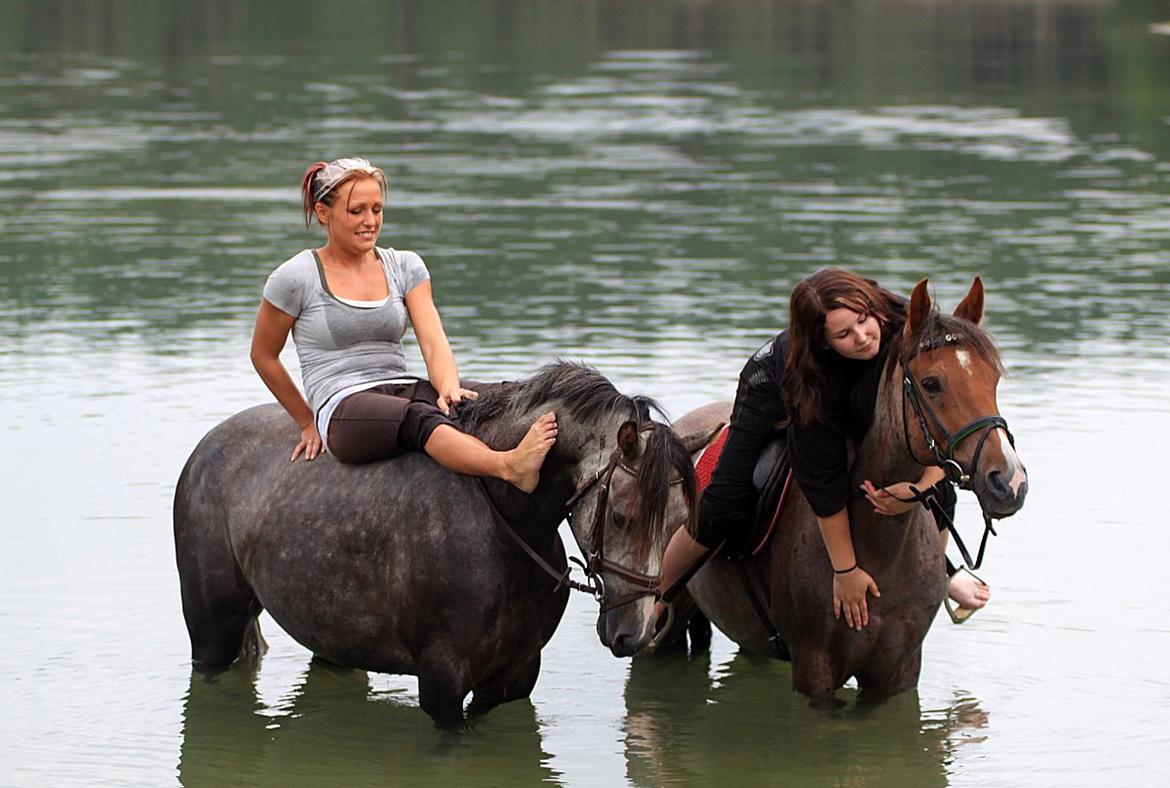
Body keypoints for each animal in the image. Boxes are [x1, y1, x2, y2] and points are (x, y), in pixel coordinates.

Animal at [170, 360, 692, 720]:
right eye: (622, 516)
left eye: (677, 523)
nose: (634, 632)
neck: (505, 518)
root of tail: (204, 450)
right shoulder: (443, 682)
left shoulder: (516, 676)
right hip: (212, 632)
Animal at [659, 278, 1024, 701]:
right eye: (931, 384)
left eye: (992, 378)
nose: (1009, 482)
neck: (880, 552)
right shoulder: (814, 672)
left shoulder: (898, 671)